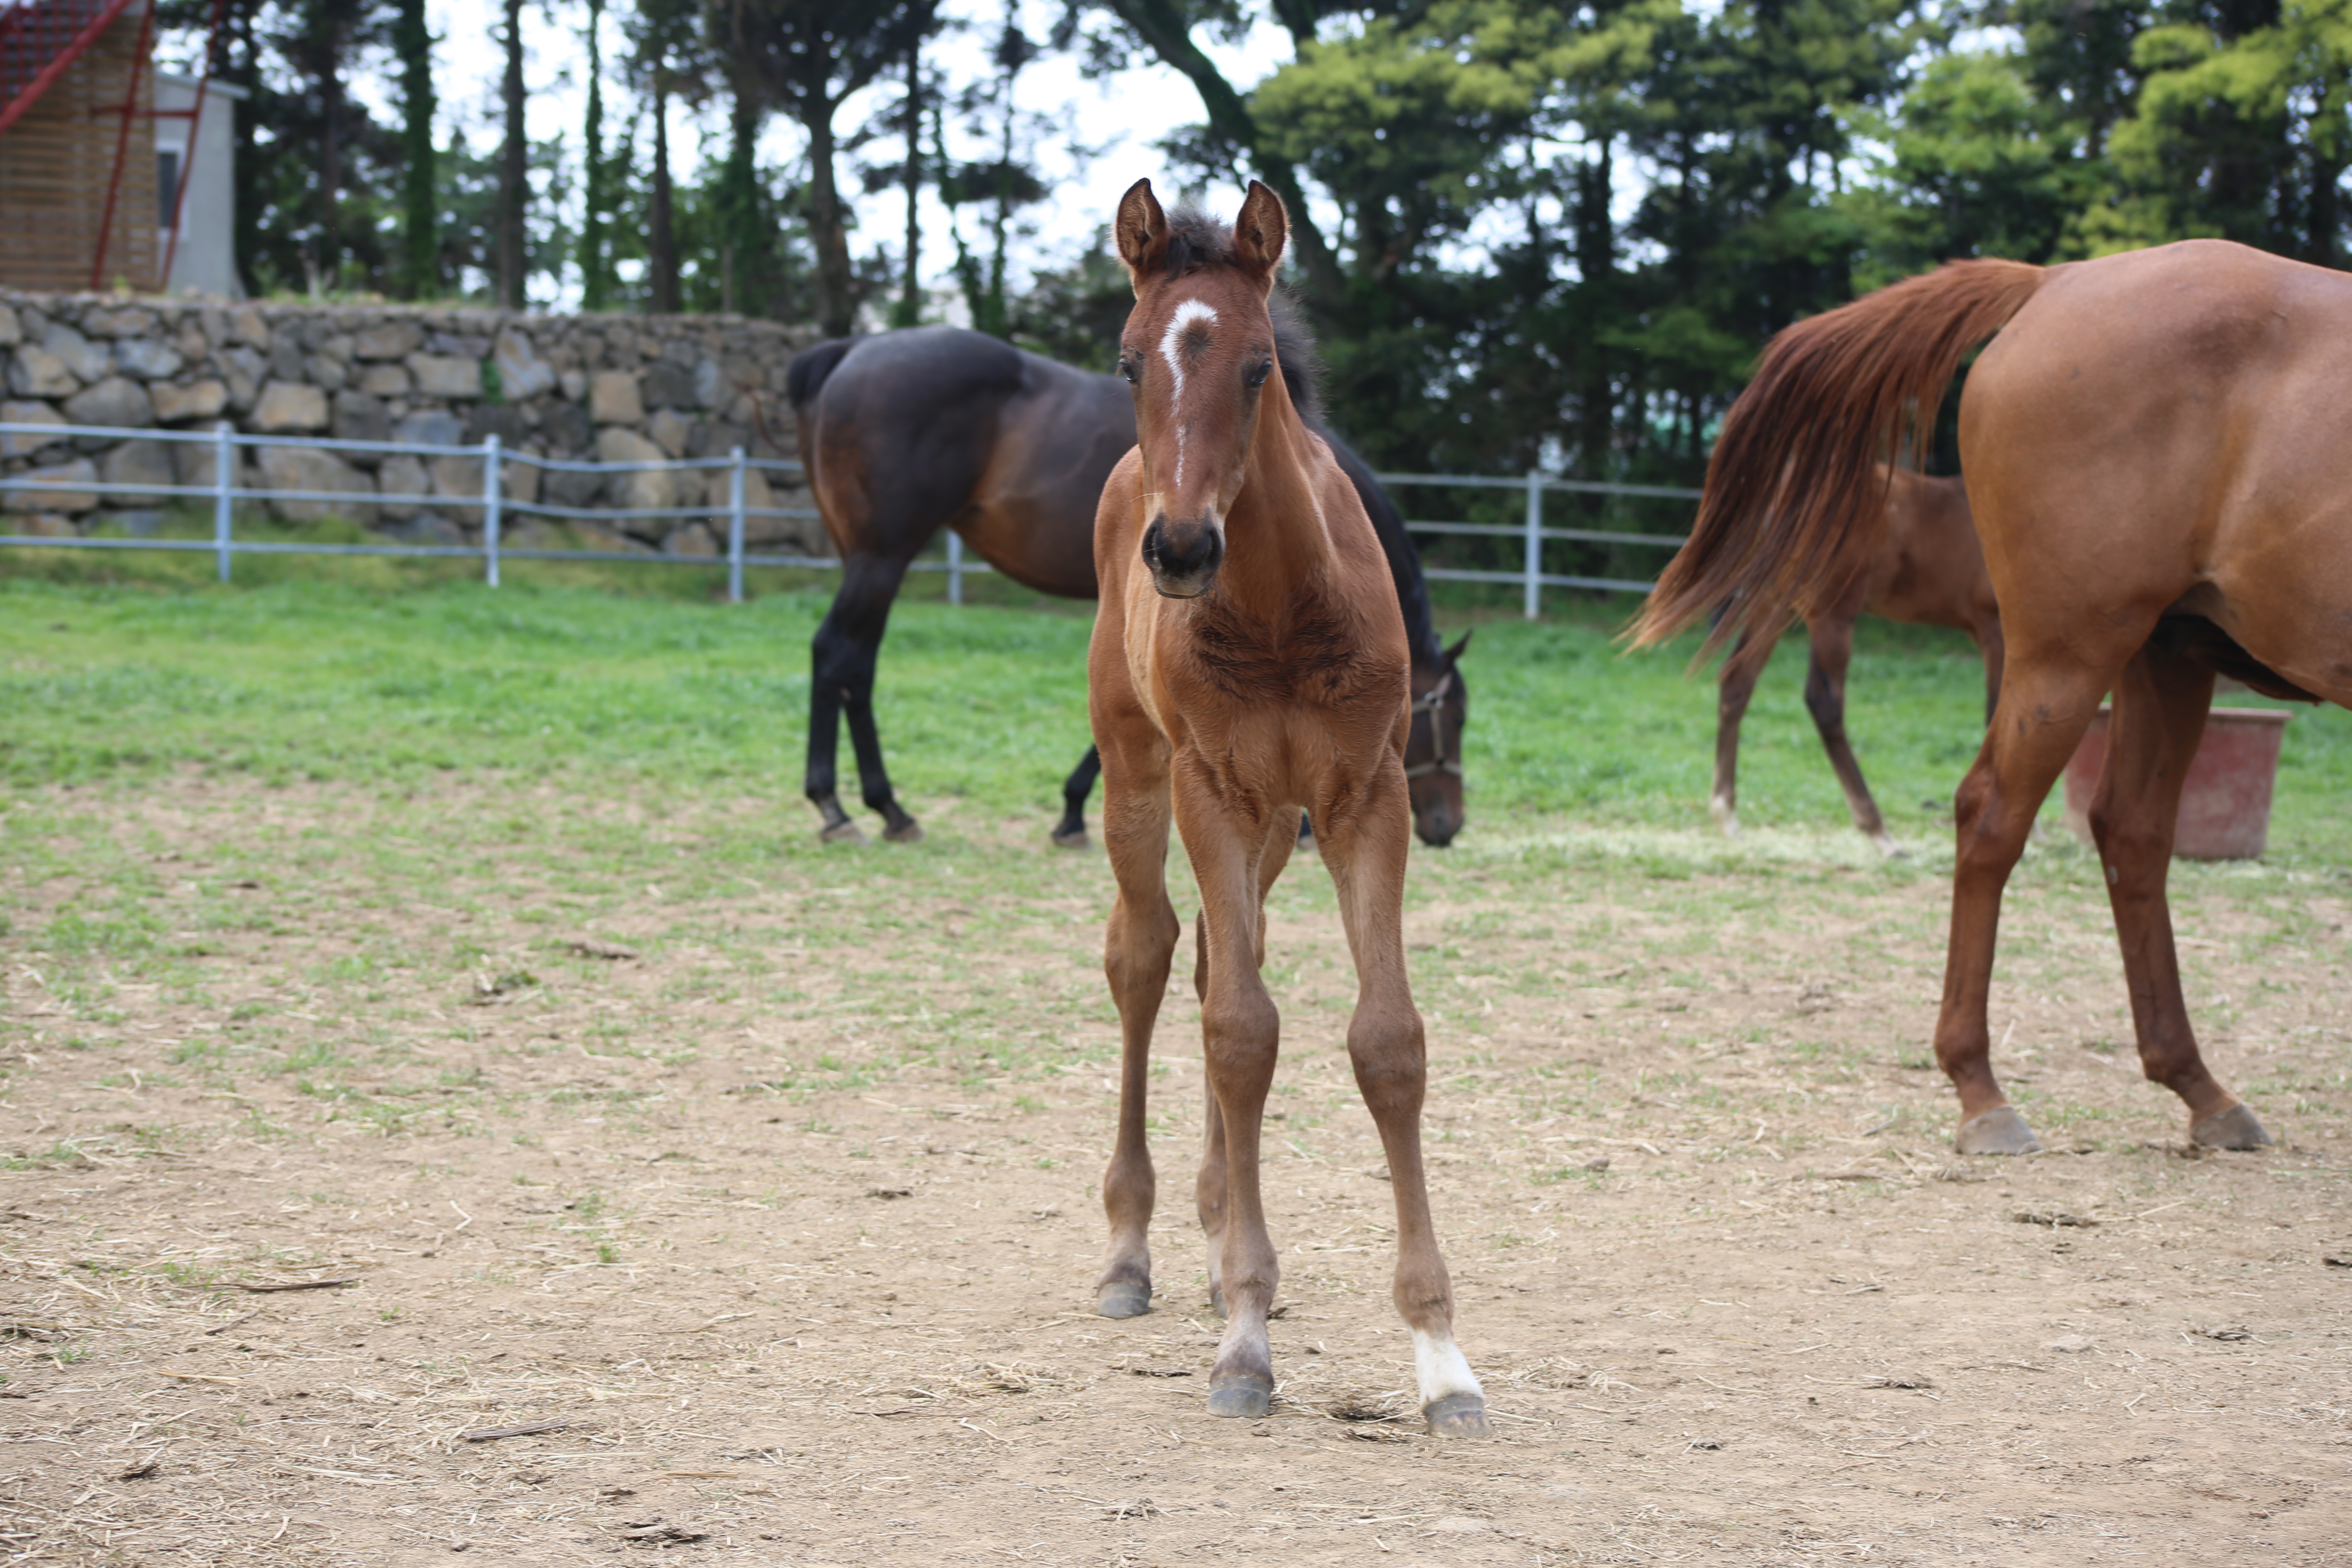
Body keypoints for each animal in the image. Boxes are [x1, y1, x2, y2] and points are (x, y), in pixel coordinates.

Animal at [781, 329, 1468, 860]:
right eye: (1454, 715)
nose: (1448, 826)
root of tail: (851, 350)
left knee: (851, 664)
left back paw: (874, 808)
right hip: (881, 558)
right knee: (839, 654)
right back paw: (849, 808)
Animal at [1082, 177, 1486, 1439]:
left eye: (1257, 366)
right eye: (1126, 362)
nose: (1179, 548)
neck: (1274, 607)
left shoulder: (1361, 799)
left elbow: (1384, 1042)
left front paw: (1442, 1357)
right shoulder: (1208, 788)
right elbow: (1240, 1034)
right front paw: (1245, 1344)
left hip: (1268, 827)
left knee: (1223, 957)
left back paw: (1215, 1234)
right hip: (1140, 775)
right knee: (1149, 956)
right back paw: (1134, 1250)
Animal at [1712, 470, 2004, 860]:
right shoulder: (1996, 629)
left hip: (1774, 604)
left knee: (1737, 680)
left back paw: (1726, 812)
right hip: (1833, 615)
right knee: (1824, 702)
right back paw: (1877, 829)